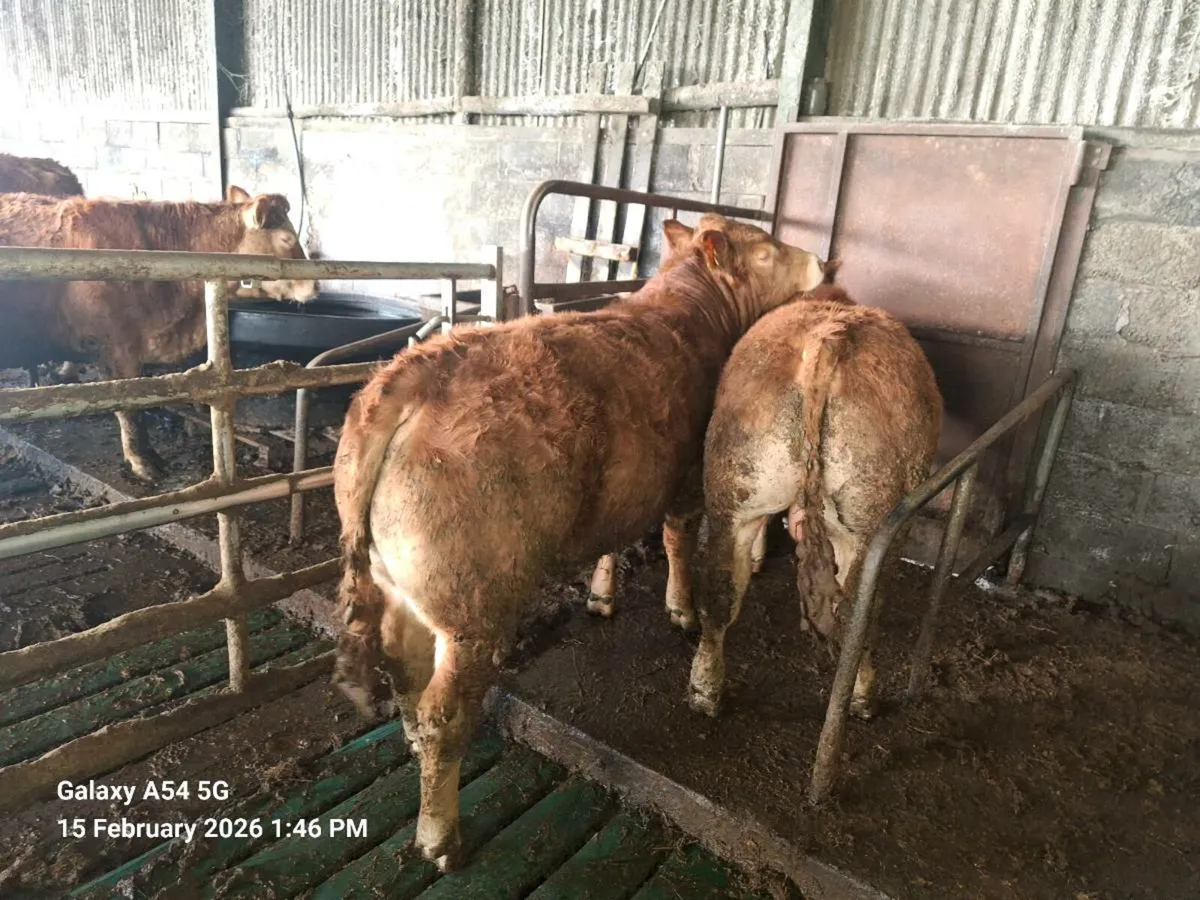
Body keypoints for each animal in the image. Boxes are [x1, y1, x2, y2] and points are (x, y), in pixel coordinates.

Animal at [332, 215, 828, 870]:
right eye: (768, 249)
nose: (824, 260)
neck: (689, 310)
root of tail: (416, 370)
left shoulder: (626, 485)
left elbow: (612, 541)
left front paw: (601, 595)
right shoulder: (687, 481)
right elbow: (676, 540)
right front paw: (682, 610)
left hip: (405, 591)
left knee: (407, 675)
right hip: (472, 607)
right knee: (444, 712)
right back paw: (441, 837)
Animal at [683, 283, 942, 721]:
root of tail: (827, 337)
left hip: (733, 495)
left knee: (719, 594)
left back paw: (705, 692)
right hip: (876, 522)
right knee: (859, 615)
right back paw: (861, 697)